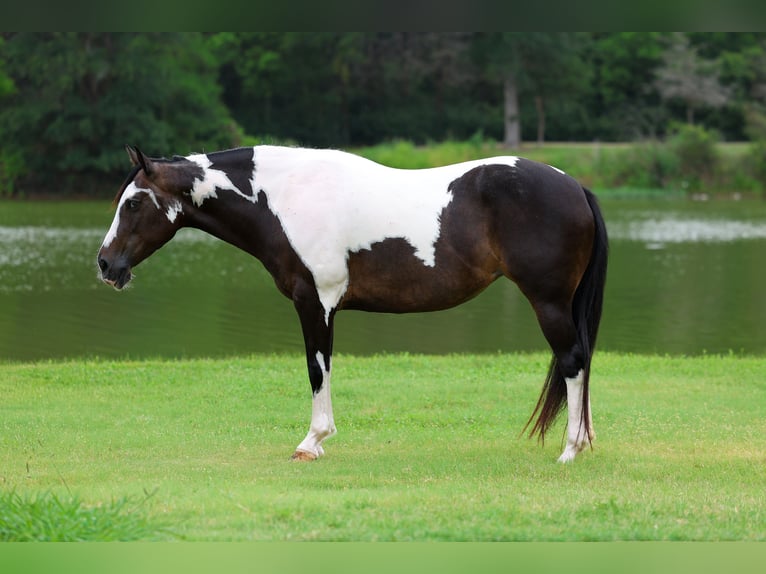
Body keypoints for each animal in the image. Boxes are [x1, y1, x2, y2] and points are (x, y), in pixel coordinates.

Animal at [97, 145, 608, 463]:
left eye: (134, 203)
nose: (105, 264)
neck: (285, 198)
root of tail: (575, 186)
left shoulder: (315, 303)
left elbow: (317, 368)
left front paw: (312, 442)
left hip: (549, 302)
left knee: (572, 361)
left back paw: (570, 449)